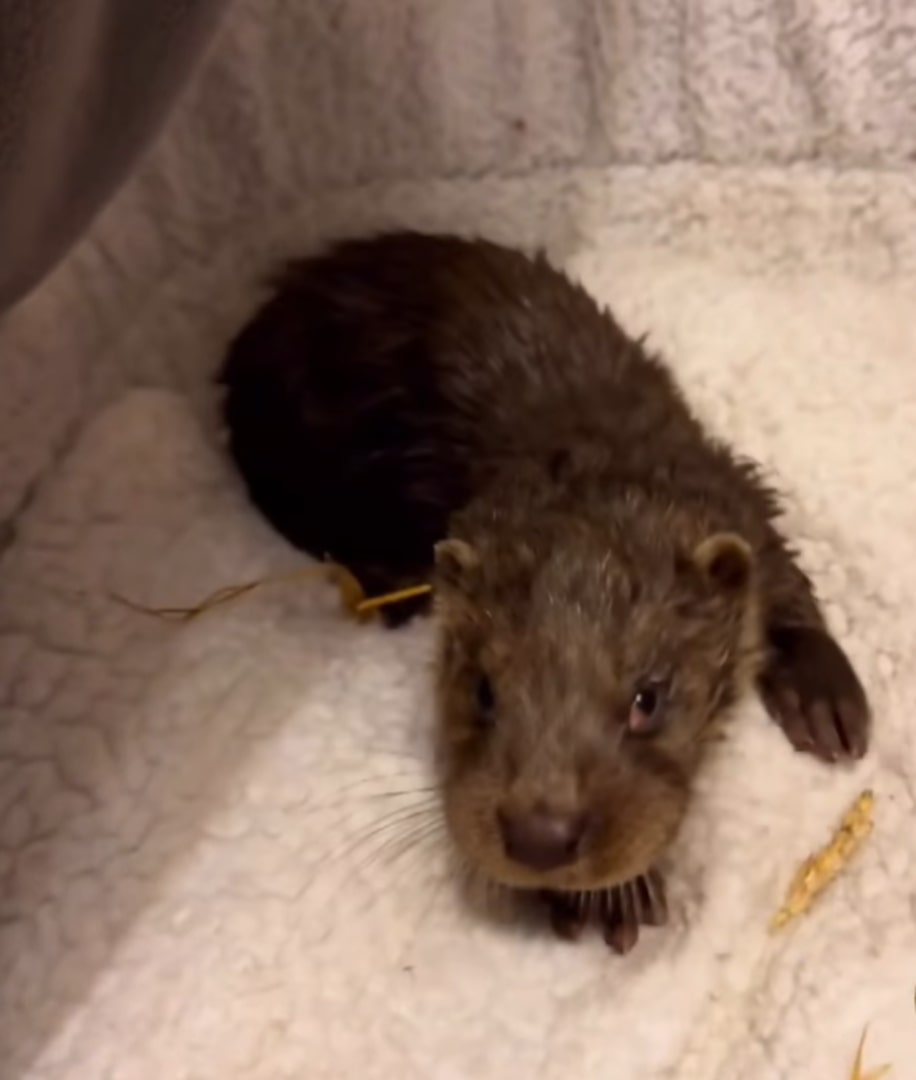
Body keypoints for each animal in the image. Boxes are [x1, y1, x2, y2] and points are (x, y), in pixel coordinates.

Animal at [218, 232, 870, 954]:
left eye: (648, 698)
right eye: (482, 691)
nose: (540, 836)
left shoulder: (734, 489)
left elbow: (781, 571)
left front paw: (822, 695)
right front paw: (613, 894)